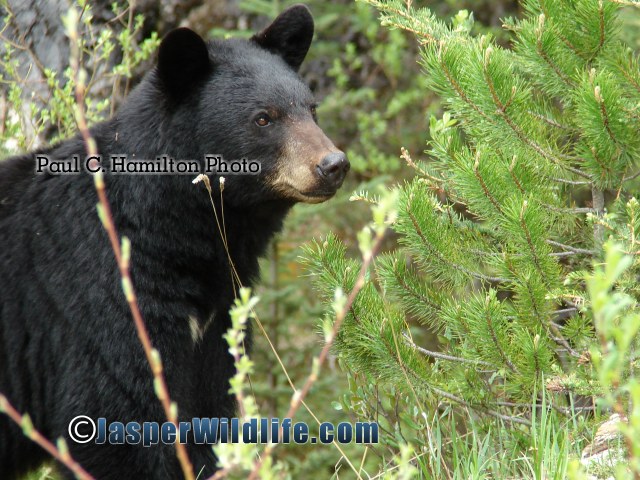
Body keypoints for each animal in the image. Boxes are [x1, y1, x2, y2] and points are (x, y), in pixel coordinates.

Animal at [0, 4, 349, 479]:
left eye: (311, 109)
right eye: (263, 117)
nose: (333, 164)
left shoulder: (215, 324)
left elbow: (206, 413)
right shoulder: (103, 305)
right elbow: (115, 422)